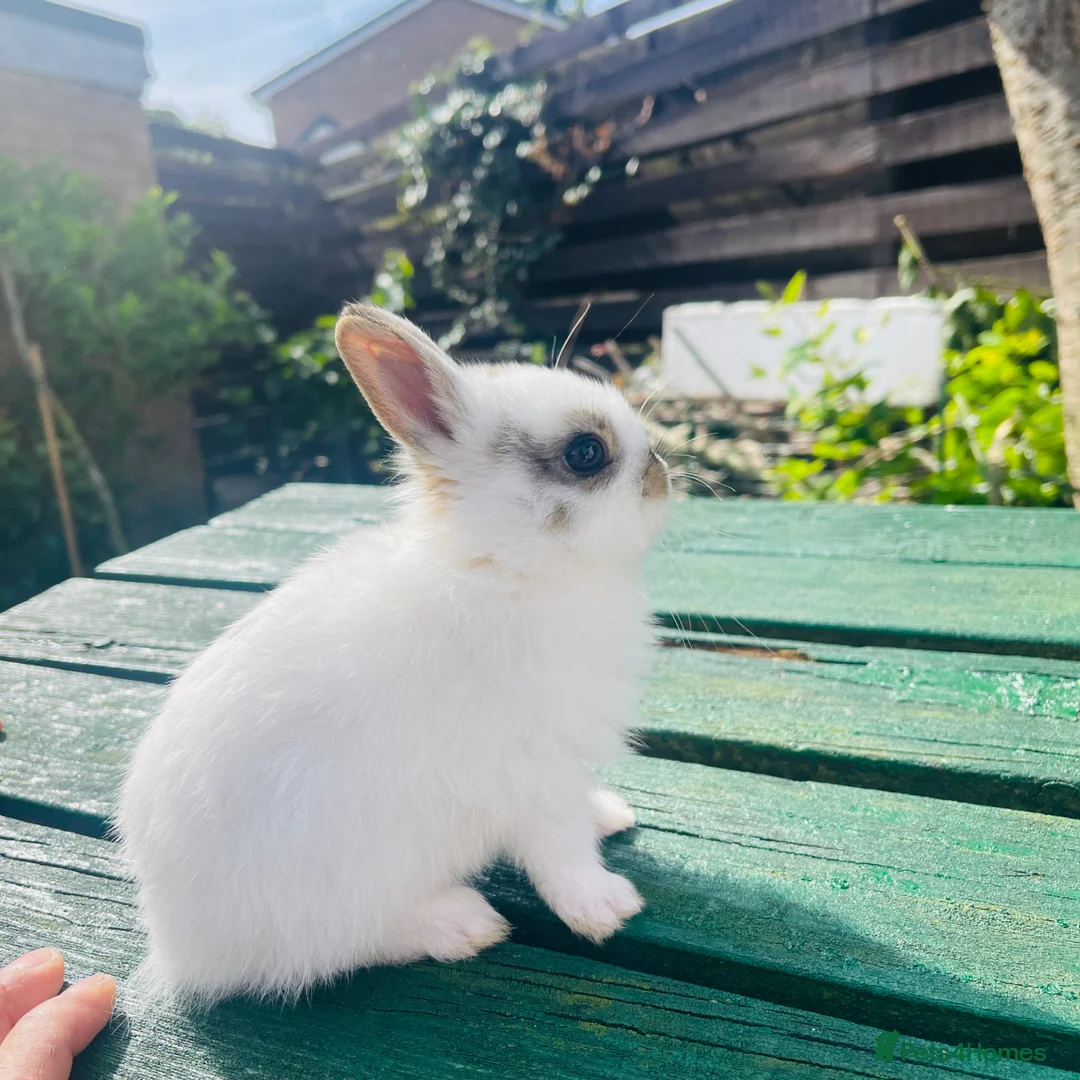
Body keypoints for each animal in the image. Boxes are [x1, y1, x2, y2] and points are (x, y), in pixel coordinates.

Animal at [116, 303, 671, 1003]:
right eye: (585, 453)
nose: (662, 476)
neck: (504, 566)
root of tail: (177, 946)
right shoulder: (532, 772)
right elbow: (560, 848)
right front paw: (607, 907)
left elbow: (580, 812)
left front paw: (611, 817)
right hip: (338, 890)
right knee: (335, 949)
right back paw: (462, 924)